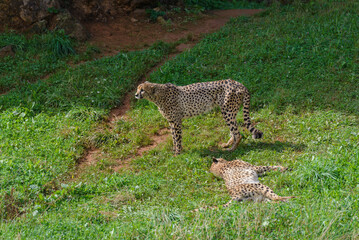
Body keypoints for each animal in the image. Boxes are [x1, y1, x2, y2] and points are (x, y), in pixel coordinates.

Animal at [135, 79, 264, 155]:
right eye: (137, 88)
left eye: (142, 90)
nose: (136, 95)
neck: (158, 96)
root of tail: (238, 83)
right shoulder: (171, 122)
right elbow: (173, 138)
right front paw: (174, 150)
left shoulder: (176, 121)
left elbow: (177, 138)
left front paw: (178, 153)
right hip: (230, 111)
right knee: (234, 130)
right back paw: (227, 144)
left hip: (227, 111)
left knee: (238, 133)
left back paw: (232, 149)